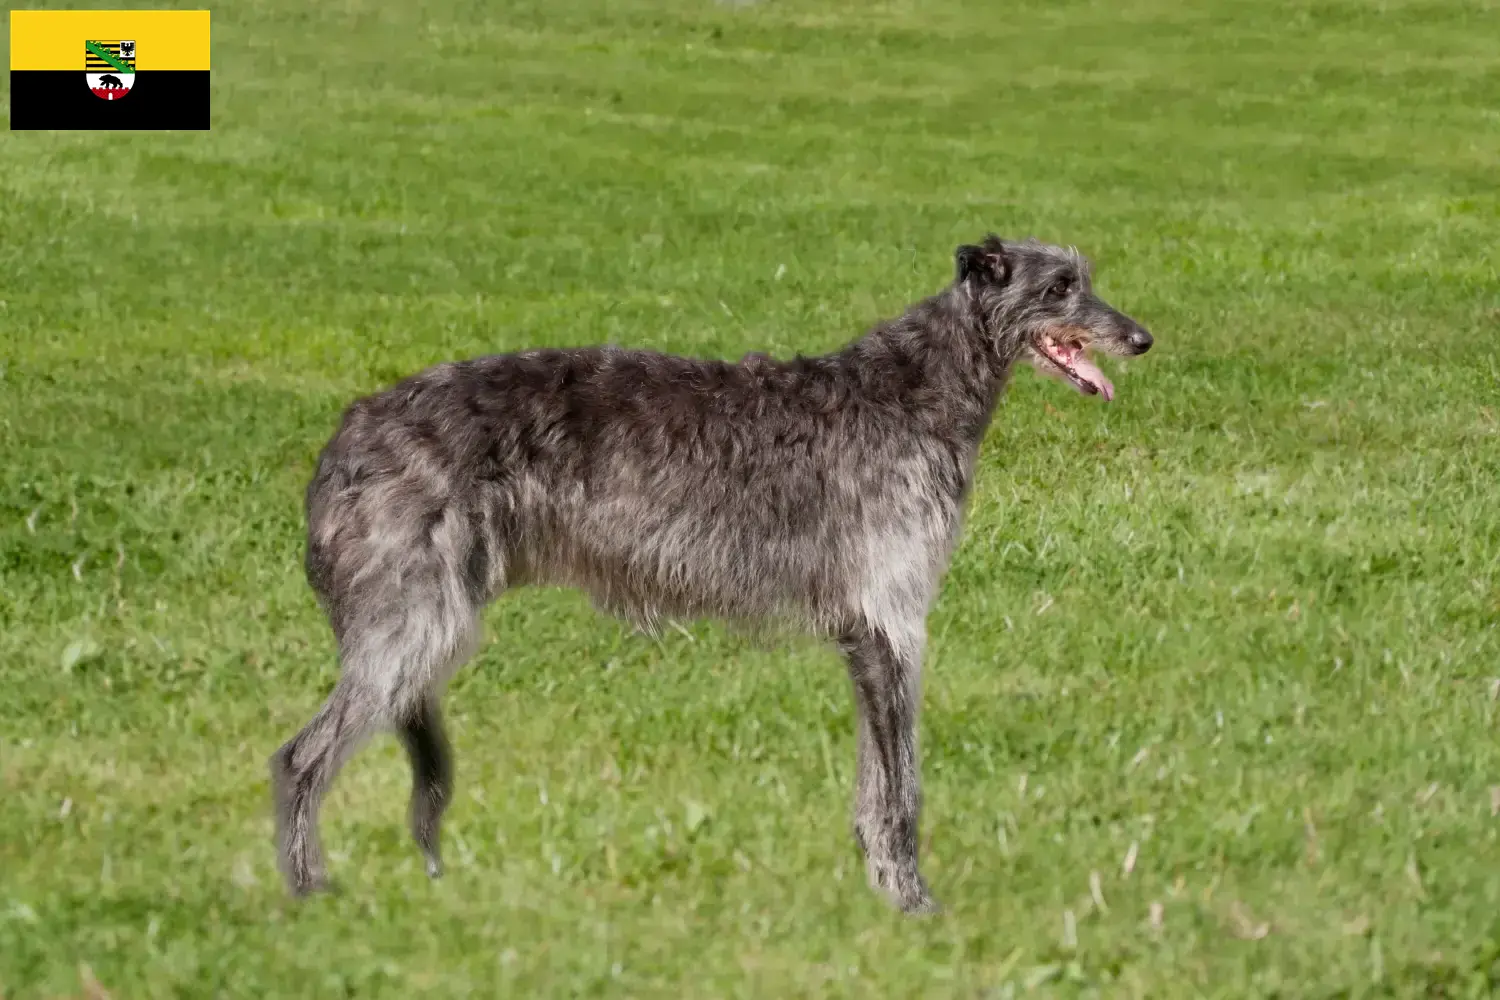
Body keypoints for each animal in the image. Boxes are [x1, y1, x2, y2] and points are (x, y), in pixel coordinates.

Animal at [270, 235, 1152, 917]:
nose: (1142, 338)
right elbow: (901, 789)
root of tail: (345, 436)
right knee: (298, 758)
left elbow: (874, 788)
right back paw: (309, 894)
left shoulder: (867, 636)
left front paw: (879, 891)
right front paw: (914, 904)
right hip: (414, 624)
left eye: (1087, 276)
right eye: (1060, 287)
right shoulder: (891, 624)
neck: (918, 392)